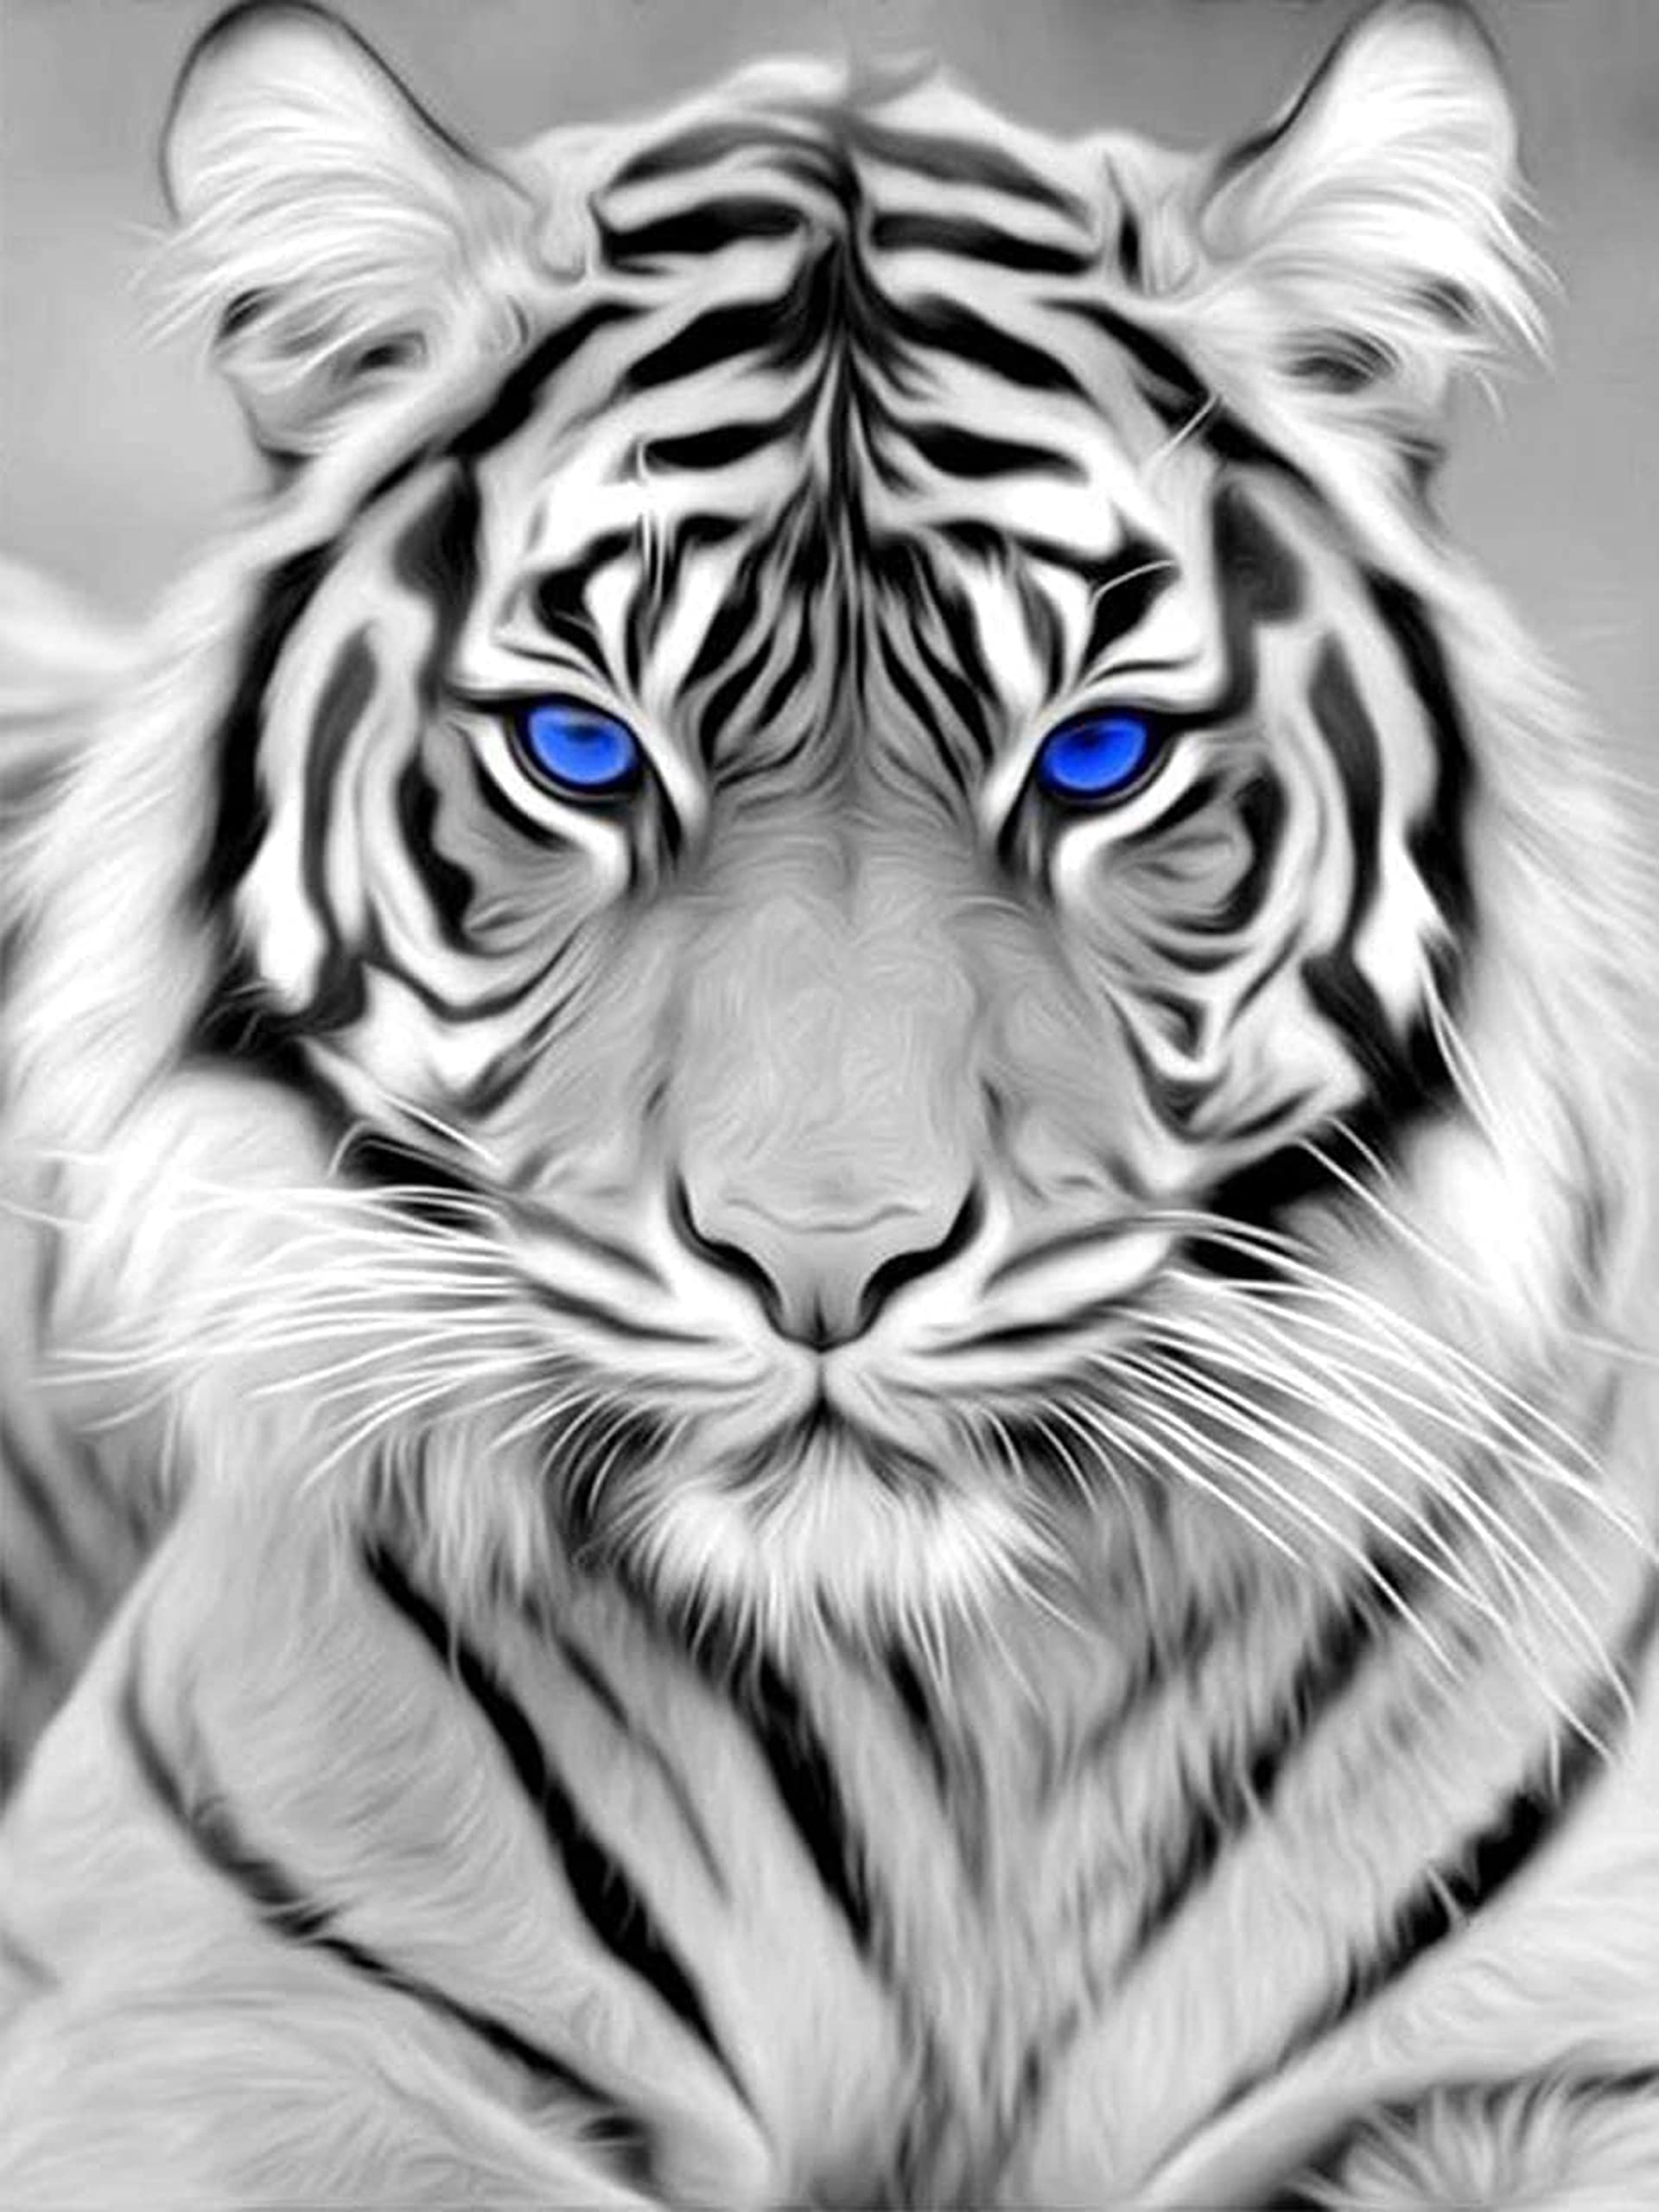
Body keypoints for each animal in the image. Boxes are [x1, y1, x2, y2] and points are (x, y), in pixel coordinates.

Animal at [2, 0, 1656, 2204]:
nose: (823, 1267)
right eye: (579, 748)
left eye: (1098, 752)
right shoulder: (197, 2005)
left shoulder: (1559, 2039)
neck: (963, 1725)